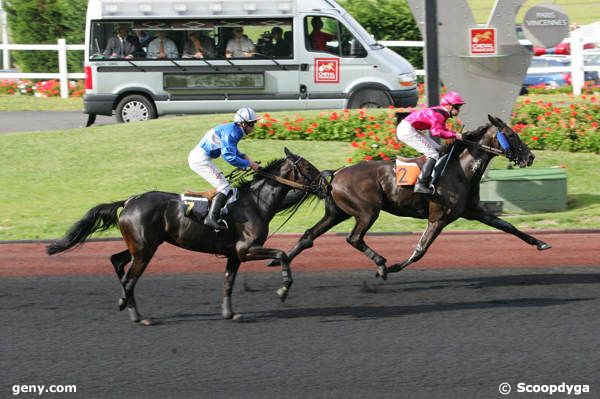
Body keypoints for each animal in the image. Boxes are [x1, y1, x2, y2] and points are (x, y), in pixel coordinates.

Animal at [47, 148, 328, 324]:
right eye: (306, 166)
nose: (326, 184)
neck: (256, 203)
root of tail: (128, 201)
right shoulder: (245, 249)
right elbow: (282, 255)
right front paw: (283, 290)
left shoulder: (234, 255)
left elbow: (228, 282)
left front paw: (229, 313)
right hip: (145, 250)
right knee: (129, 279)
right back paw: (136, 314)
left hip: (141, 246)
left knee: (117, 261)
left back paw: (127, 305)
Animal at [272, 115, 552, 278]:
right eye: (512, 135)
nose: (530, 157)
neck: (459, 170)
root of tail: (336, 174)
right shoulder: (438, 218)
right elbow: (421, 249)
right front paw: (397, 266)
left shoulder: (474, 211)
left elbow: (507, 226)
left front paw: (541, 243)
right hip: (366, 211)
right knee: (354, 238)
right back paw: (382, 264)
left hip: (337, 212)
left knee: (309, 235)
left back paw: (281, 261)